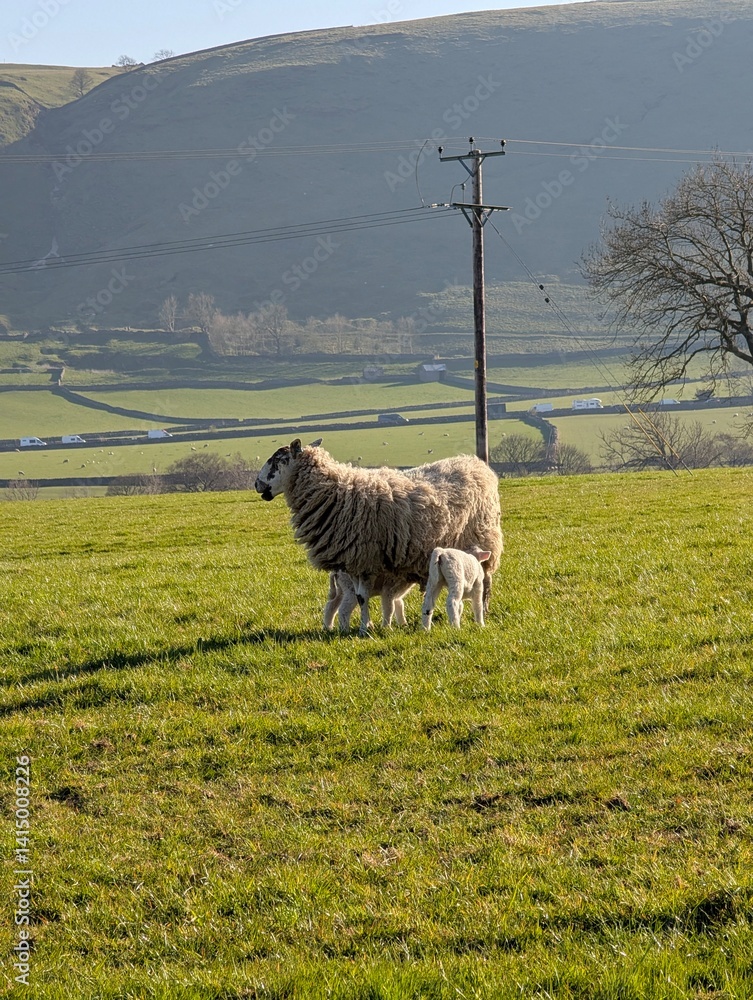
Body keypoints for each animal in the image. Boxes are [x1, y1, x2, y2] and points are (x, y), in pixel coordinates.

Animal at [255, 439, 503, 633]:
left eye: (277, 460)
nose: (257, 484)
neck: (333, 490)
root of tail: (476, 463)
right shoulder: (353, 562)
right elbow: (360, 597)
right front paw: (367, 625)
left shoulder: (365, 559)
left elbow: (362, 597)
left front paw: (366, 628)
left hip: (484, 539)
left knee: (485, 580)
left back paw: (483, 612)